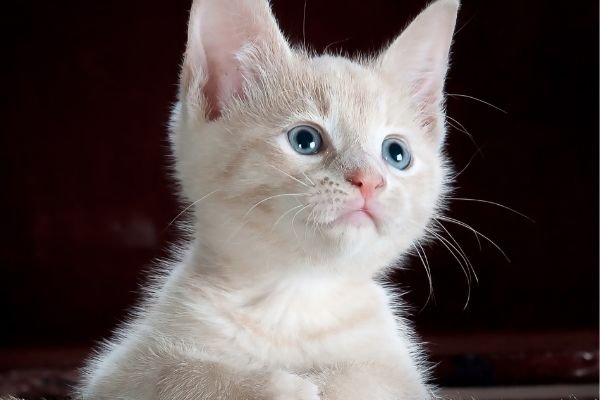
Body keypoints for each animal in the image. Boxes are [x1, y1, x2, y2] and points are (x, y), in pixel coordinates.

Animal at [75, 0, 460, 398]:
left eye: (396, 153)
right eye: (305, 140)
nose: (369, 180)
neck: (295, 297)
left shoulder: (401, 373)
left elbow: (370, 378)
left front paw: (329, 382)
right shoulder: (118, 373)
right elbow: (183, 374)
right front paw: (284, 385)